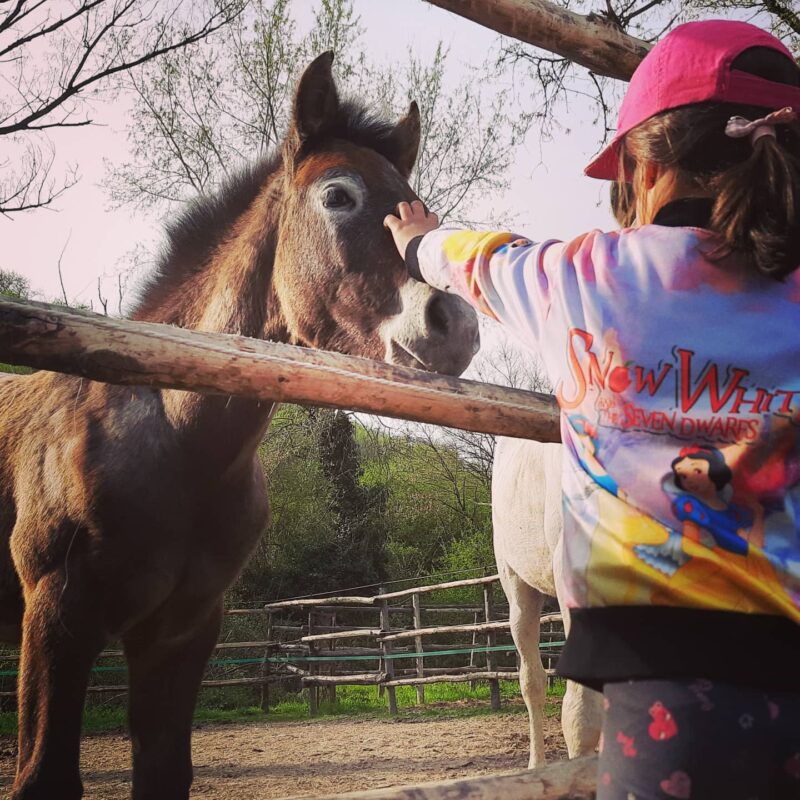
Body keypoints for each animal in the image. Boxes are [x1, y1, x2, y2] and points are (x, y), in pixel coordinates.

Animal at [0, 52, 479, 800]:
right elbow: (43, 778)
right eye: (338, 196)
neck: (174, 440)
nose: (452, 325)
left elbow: (166, 771)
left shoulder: (182, 630)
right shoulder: (56, 616)